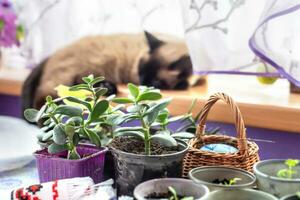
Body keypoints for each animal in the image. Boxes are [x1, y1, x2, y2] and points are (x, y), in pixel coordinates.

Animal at [21, 32, 195, 111]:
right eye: (140, 71)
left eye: (155, 83)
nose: (142, 84)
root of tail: (52, 54)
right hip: (68, 75)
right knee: (45, 98)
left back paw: (107, 87)